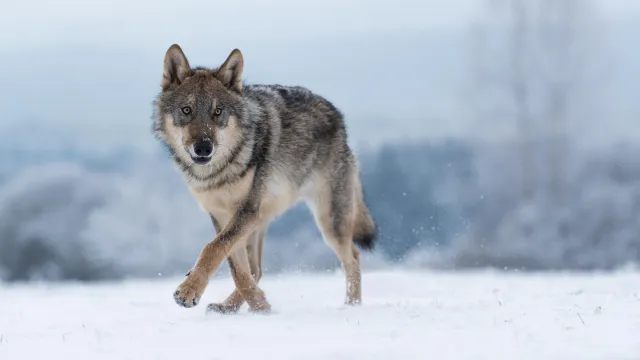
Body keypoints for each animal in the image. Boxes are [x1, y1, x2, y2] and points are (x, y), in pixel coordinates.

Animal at [152, 43, 378, 314]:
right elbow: (236, 268)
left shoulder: (246, 211)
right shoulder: (222, 215)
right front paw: (261, 307)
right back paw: (230, 307)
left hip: (328, 220)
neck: (219, 173)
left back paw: (351, 306)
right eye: (187, 110)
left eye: (218, 112)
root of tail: (338, 117)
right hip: (261, 222)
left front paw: (188, 291)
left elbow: (213, 249)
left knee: (353, 258)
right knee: (256, 270)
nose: (203, 148)